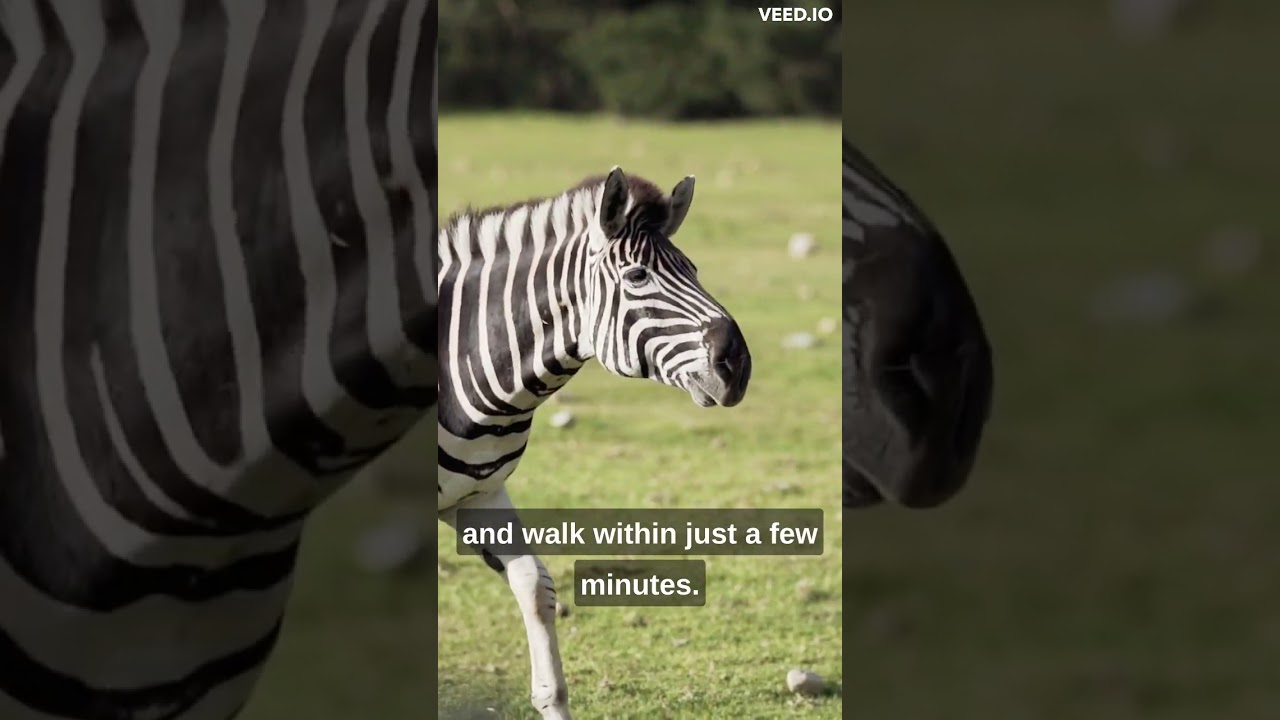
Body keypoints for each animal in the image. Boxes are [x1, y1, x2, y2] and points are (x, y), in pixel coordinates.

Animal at [380, 166, 751, 719]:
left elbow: (536, 586)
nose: (738, 364)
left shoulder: (479, 495)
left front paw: (550, 696)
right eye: (637, 277)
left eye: (694, 270)